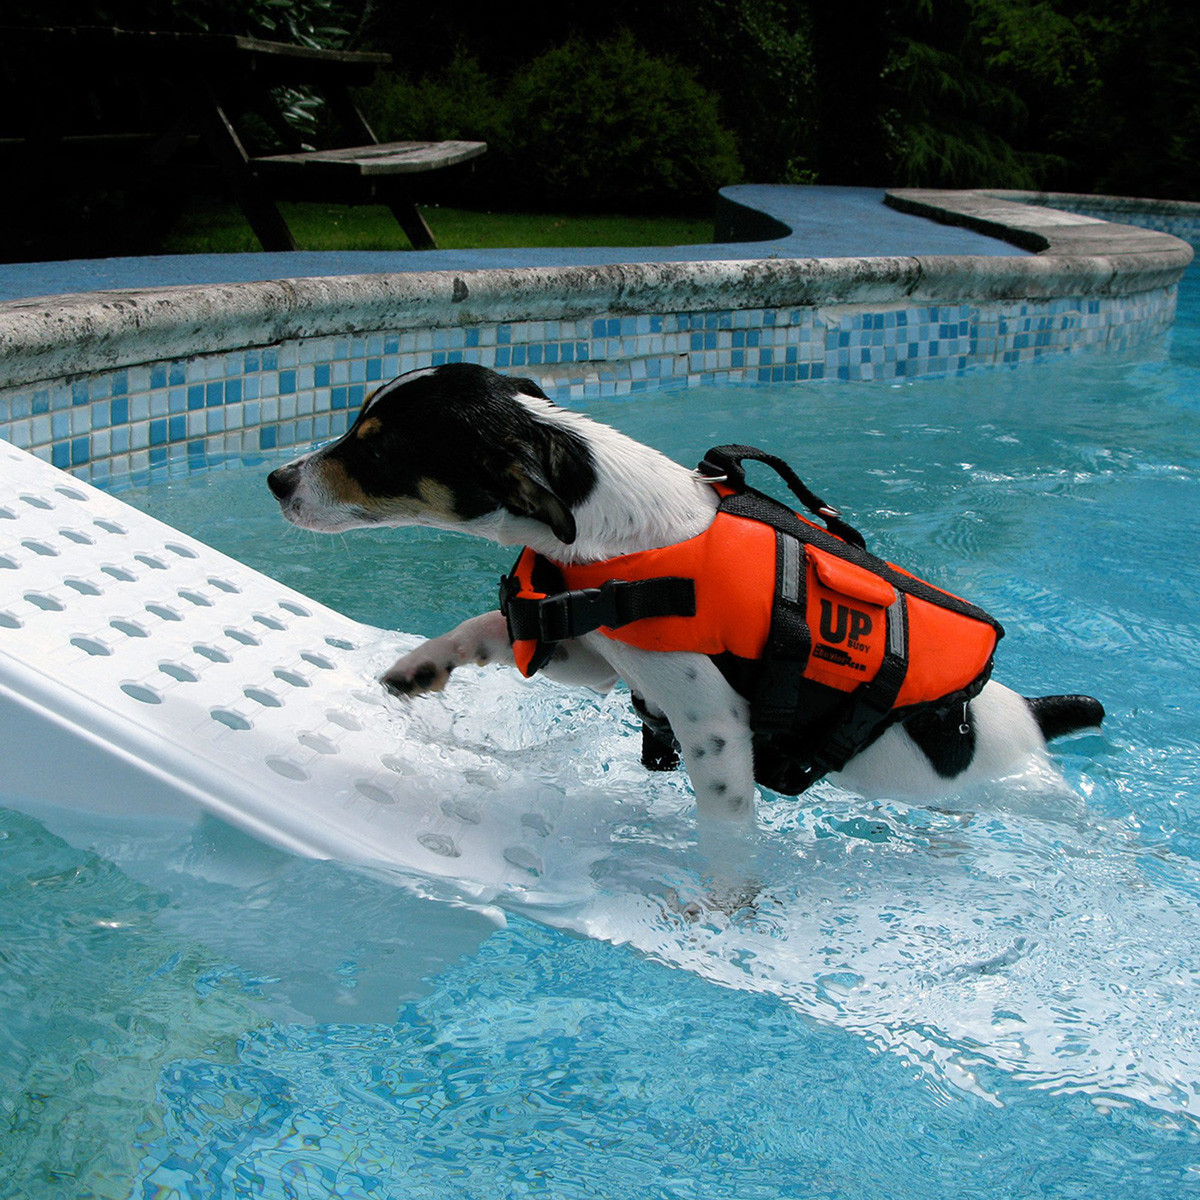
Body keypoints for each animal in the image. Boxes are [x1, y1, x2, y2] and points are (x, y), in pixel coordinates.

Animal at [272, 360, 1104, 830]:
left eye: (377, 449)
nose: (277, 479)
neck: (620, 527)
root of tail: (1033, 718)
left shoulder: (714, 729)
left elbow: (728, 831)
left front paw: (725, 909)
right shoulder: (597, 656)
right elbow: (484, 628)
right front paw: (421, 666)